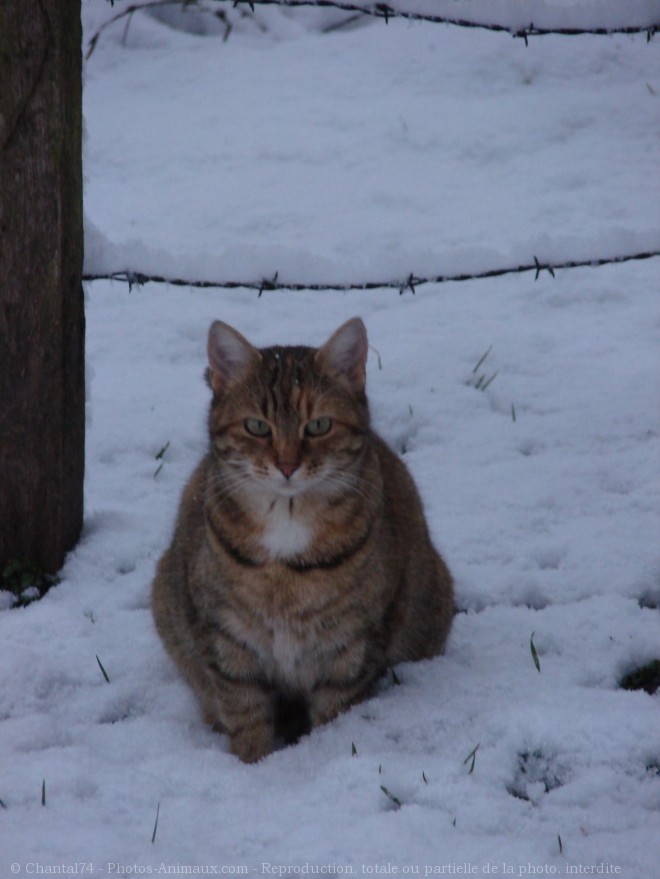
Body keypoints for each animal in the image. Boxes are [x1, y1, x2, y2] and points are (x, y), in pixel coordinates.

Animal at [151, 316, 454, 764]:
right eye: (257, 426)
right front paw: (252, 765)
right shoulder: (226, 639)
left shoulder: (352, 645)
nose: (287, 465)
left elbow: (335, 715)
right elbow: (244, 712)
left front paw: (321, 757)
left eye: (319, 425)